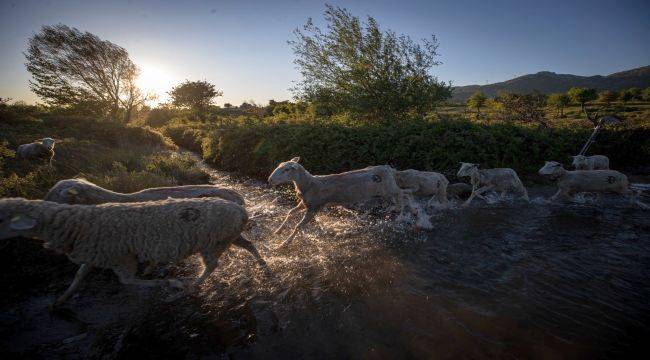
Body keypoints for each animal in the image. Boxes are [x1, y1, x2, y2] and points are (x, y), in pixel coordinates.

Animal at [0, 198, 268, 306]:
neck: (77, 225)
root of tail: (241, 210)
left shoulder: (122, 258)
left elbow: (128, 281)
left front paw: (172, 284)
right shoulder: (96, 255)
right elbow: (78, 276)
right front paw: (61, 300)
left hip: (214, 243)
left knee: (212, 267)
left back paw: (188, 289)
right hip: (228, 237)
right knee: (248, 245)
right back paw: (263, 265)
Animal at [268, 156, 416, 249]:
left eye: (286, 169)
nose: (270, 180)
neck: (309, 184)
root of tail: (390, 169)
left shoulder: (314, 207)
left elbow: (298, 226)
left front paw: (284, 244)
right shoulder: (305, 204)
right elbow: (290, 212)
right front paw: (278, 231)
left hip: (389, 188)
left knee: (405, 194)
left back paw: (407, 213)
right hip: (386, 190)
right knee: (401, 195)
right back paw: (396, 209)